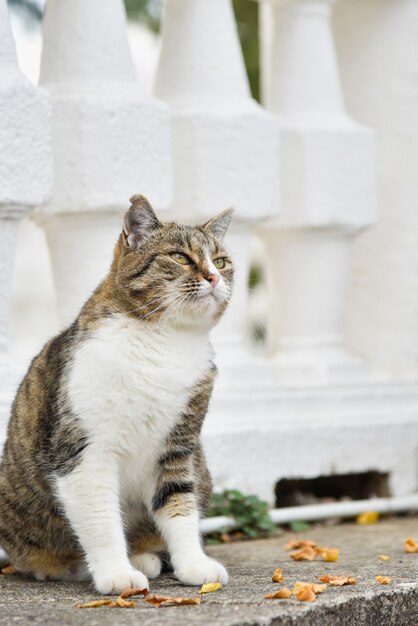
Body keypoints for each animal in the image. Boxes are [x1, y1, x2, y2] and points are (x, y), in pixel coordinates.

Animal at [0, 196, 233, 596]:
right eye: (180, 257)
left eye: (220, 261)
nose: (214, 278)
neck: (166, 341)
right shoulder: (83, 452)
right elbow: (101, 520)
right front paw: (116, 574)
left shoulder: (178, 447)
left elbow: (179, 505)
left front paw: (194, 565)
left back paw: (143, 555)